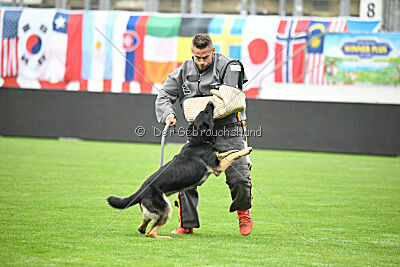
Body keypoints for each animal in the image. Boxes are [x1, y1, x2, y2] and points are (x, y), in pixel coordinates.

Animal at [108, 102, 252, 239]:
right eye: (206, 112)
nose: (210, 102)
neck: (198, 139)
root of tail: (140, 191)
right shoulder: (218, 168)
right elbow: (230, 156)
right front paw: (245, 150)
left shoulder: (217, 161)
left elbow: (226, 153)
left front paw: (234, 150)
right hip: (166, 209)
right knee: (150, 232)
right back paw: (164, 237)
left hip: (152, 212)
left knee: (143, 225)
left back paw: (145, 230)